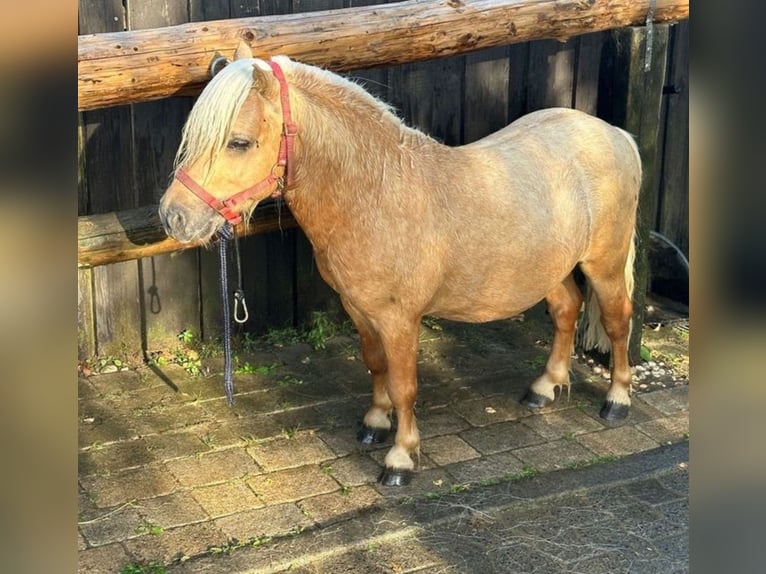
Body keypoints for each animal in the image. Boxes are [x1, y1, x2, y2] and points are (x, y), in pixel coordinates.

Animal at [160, 45, 640, 488]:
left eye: (238, 142)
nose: (174, 217)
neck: (376, 193)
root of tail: (615, 133)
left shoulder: (400, 319)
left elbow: (404, 385)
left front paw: (401, 458)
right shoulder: (358, 308)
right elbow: (376, 366)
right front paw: (375, 422)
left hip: (604, 265)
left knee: (617, 321)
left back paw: (617, 399)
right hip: (548, 268)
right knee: (566, 309)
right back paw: (545, 387)